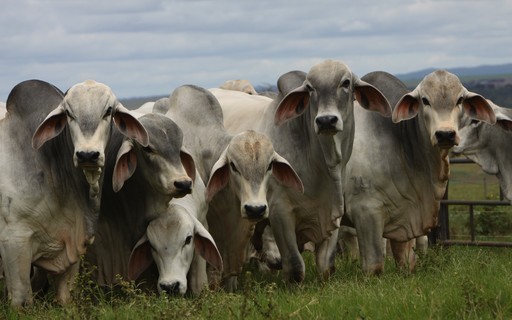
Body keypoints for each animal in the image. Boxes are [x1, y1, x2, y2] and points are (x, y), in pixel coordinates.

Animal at [0, 79, 148, 306]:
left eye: (108, 111)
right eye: (69, 113)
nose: (87, 155)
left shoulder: (72, 249)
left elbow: (65, 298)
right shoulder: (14, 241)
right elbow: (22, 300)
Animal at [210, 58, 390, 282]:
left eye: (346, 83)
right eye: (310, 88)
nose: (326, 120)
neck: (321, 168)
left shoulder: (333, 212)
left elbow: (326, 264)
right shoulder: (279, 210)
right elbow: (295, 265)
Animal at [342, 70, 498, 276]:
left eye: (460, 100)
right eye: (425, 100)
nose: (445, 134)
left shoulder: (404, 216)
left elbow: (406, 259)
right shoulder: (366, 212)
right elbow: (374, 264)